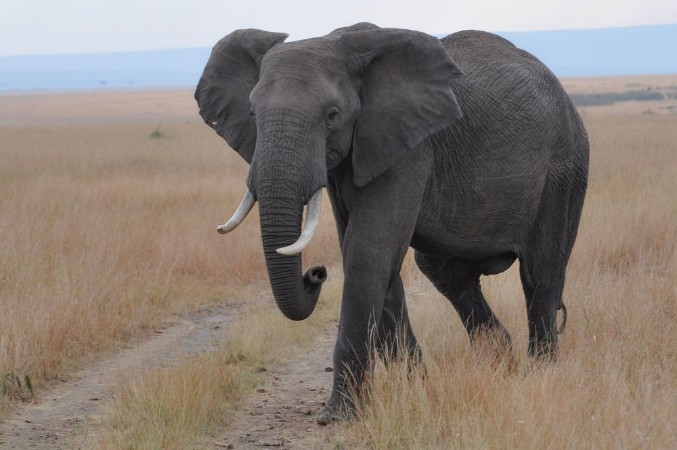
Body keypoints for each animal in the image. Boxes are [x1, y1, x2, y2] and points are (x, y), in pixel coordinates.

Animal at [195, 22, 589, 424]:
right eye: (252, 114)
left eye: (332, 115)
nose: (315, 274)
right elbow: (375, 259)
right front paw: (415, 389)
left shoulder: (408, 146)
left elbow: (367, 252)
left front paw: (337, 415)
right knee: (445, 271)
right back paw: (500, 360)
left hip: (565, 166)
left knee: (540, 275)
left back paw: (540, 375)